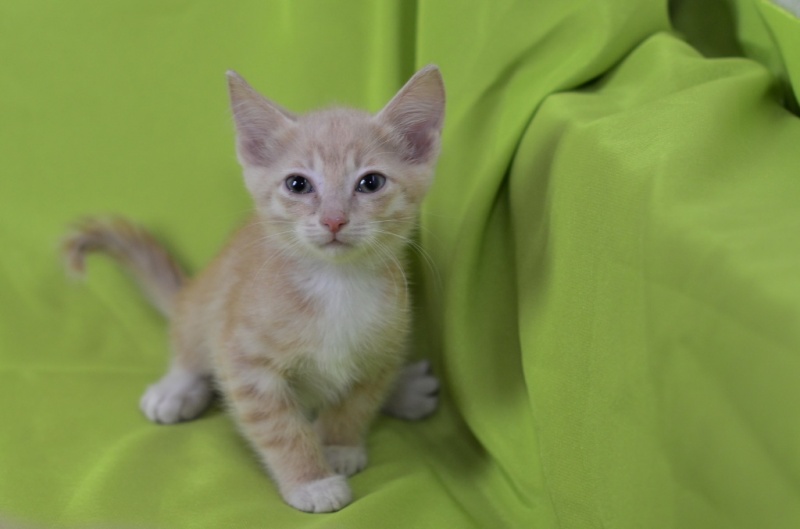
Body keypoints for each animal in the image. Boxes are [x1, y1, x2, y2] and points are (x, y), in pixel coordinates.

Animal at [61, 65, 445, 513]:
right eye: (298, 184)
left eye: (370, 182)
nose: (333, 219)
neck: (336, 283)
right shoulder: (245, 361)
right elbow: (280, 428)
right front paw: (312, 480)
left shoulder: (383, 348)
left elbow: (358, 402)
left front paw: (338, 446)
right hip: (207, 302)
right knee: (191, 347)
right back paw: (177, 389)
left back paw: (406, 389)